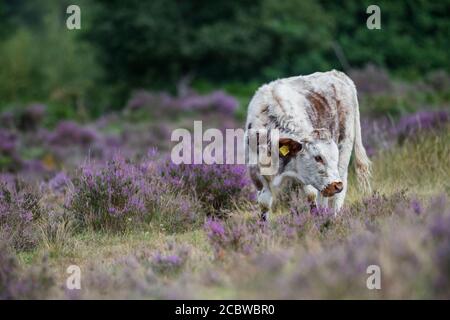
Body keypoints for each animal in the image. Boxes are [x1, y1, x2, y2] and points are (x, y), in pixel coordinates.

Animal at [244, 69, 370, 220]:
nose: (336, 186)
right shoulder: (256, 175)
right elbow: (264, 205)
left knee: (334, 196)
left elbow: (311, 197)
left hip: (344, 150)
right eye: (318, 157)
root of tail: (336, 74)